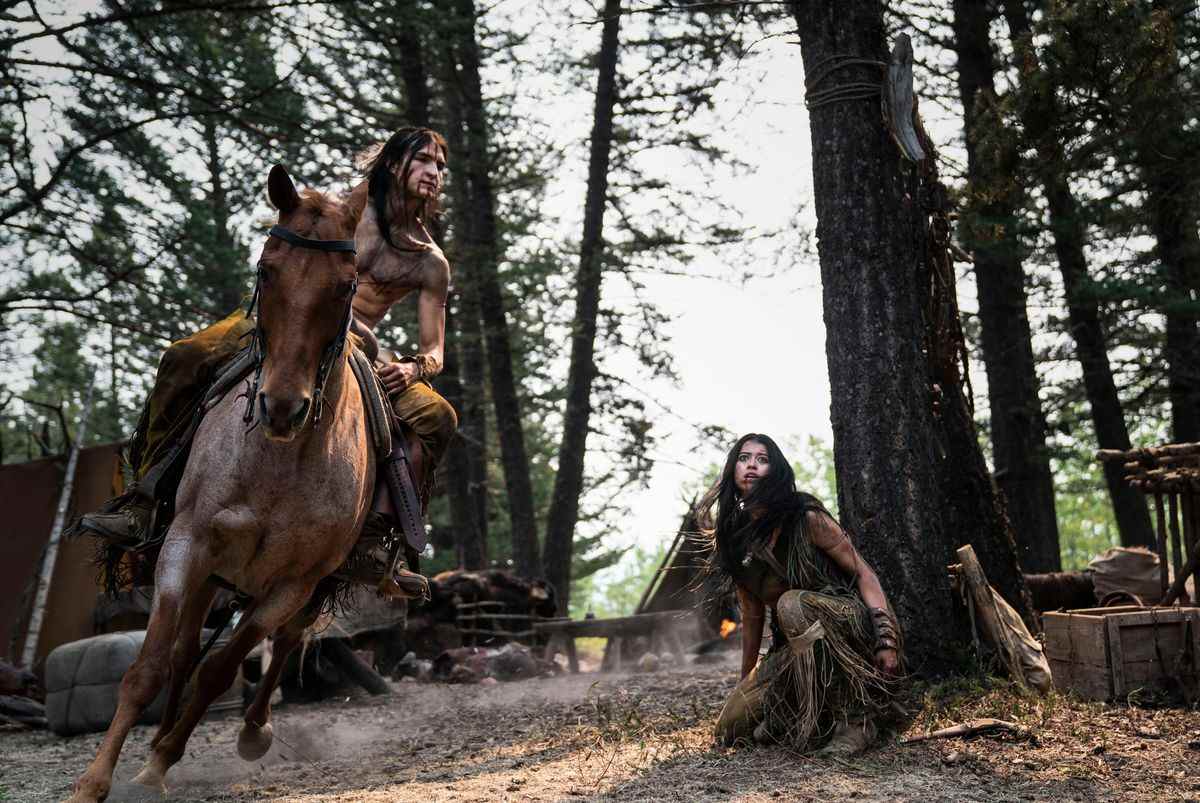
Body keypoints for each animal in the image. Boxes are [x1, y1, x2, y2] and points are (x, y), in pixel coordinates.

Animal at [68, 164, 372, 801]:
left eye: (345, 285)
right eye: (266, 269)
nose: (283, 406)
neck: (278, 461)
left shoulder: (293, 584)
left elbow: (222, 670)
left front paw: (161, 762)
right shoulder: (188, 543)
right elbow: (150, 667)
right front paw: (96, 781)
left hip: (300, 588)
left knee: (283, 644)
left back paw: (246, 731)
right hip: (211, 572)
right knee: (184, 651)